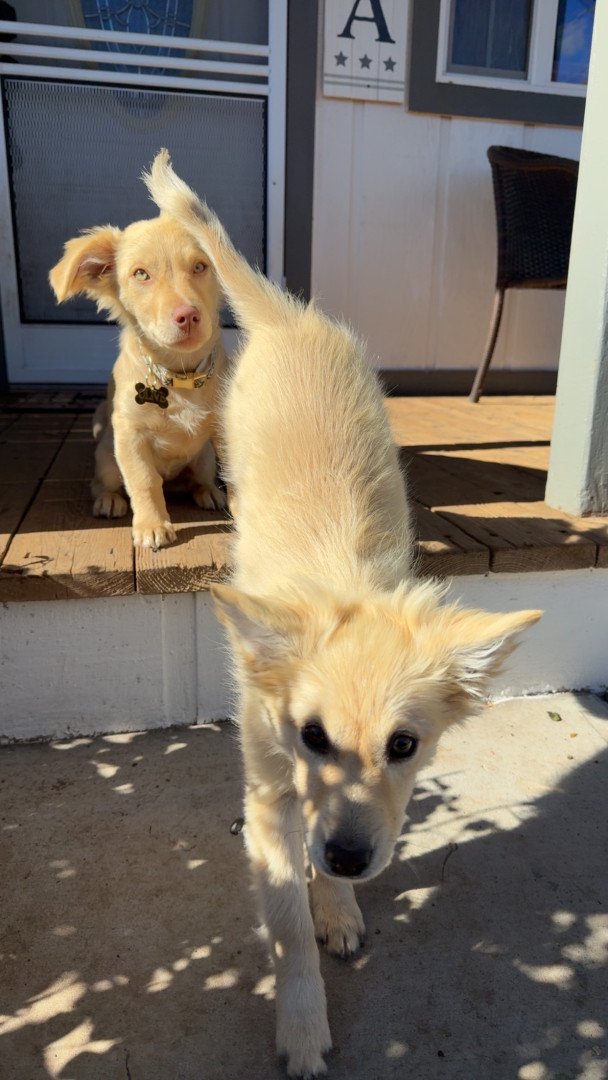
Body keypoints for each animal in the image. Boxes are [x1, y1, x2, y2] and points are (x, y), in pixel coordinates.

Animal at [49, 204, 227, 549]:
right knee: (103, 483)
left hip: (204, 458)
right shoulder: (130, 434)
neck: (180, 375)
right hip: (107, 457)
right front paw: (152, 524)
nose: (188, 316)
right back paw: (108, 500)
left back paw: (208, 491)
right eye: (141, 274)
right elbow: (144, 480)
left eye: (200, 266)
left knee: (198, 479)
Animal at [146, 150, 542, 1078]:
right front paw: (301, 1021)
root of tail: (288, 316)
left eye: (405, 747)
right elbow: (286, 926)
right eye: (312, 735)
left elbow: (319, 876)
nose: (353, 857)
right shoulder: (270, 794)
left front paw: (339, 906)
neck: (342, 581)